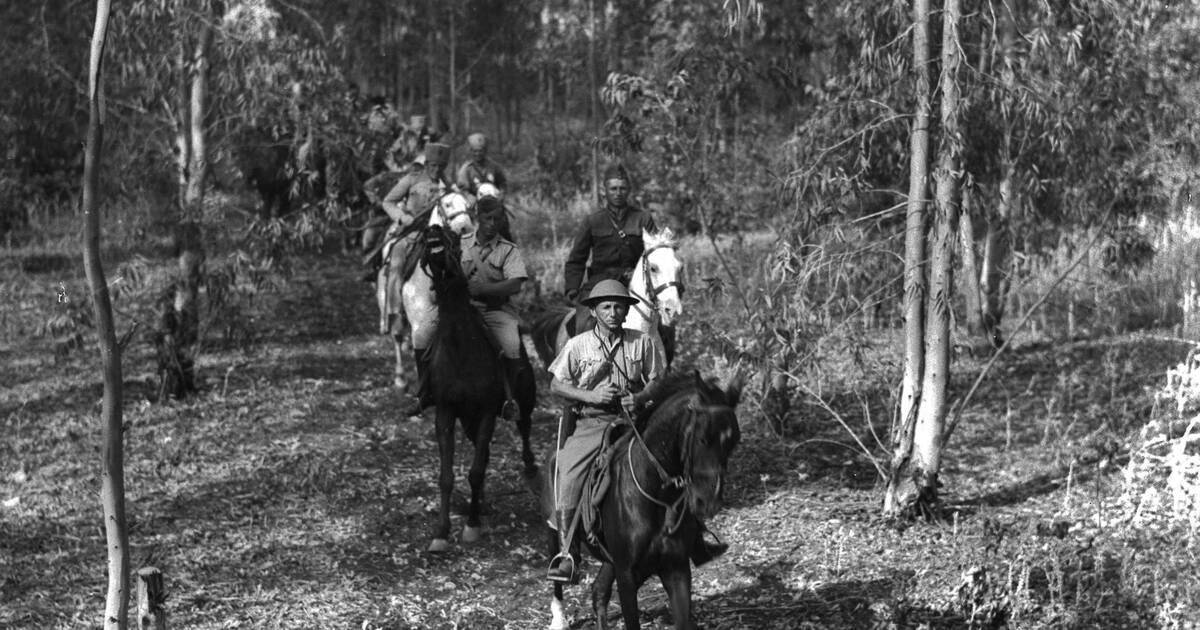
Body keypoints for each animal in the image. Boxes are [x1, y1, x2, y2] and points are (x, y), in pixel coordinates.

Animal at [376, 189, 475, 391]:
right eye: (447, 204)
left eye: (469, 205)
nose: (466, 228)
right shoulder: (421, 326)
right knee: (397, 335)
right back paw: (400, 378)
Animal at [420, 223, 537, 552]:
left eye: (455, 240)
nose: (433, 229)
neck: (461, 347)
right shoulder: (446, 412)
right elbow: (447, 476)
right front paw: (441, 532)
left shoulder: (486, 412)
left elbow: (474, 471)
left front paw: (471, 525)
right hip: (468, 419)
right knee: (481, 451)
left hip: (524, 398)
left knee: (524, 427)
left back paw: (530, 469)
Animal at [542, 372, 739, 624]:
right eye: (703, 438)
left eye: (733, 443)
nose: (708, 502)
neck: (656, 493)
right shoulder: (627, 575)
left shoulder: (676, 569)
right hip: (554, 532)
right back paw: (559, 614)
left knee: (599, 593)